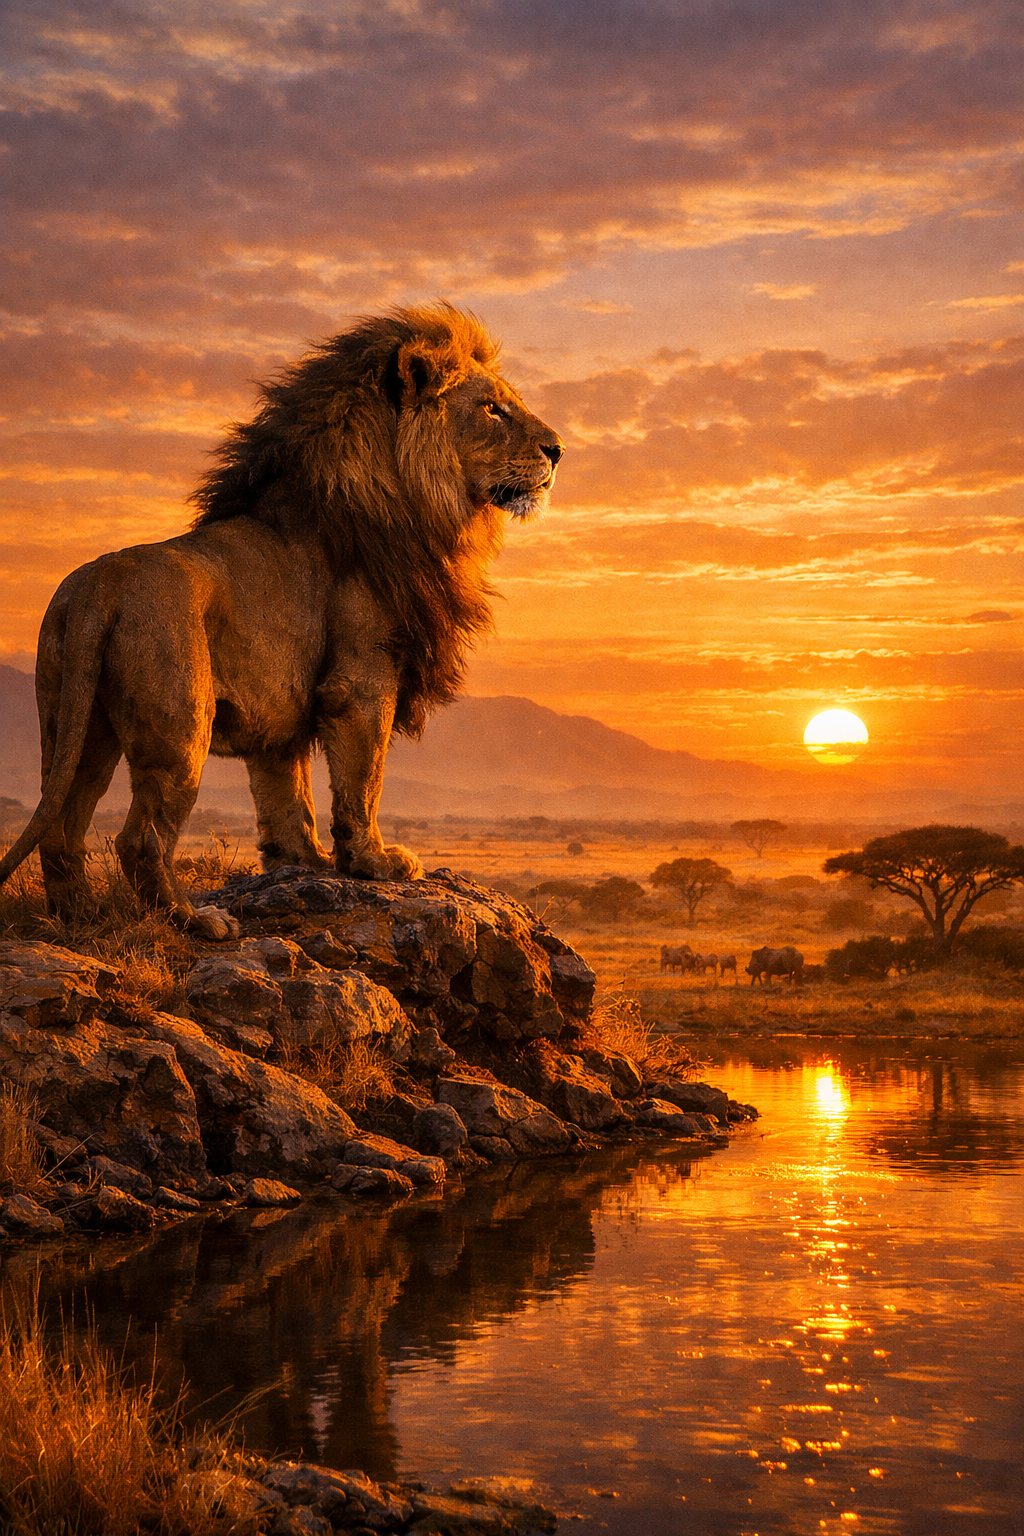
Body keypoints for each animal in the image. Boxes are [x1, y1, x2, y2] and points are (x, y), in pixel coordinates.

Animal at [0, 303, 564, 938]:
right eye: (492, 408)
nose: (558, 450)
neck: (415, 501)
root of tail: (101, 584)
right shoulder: (363, 674)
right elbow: (364, 777)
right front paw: (374, 862)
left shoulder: (278, 709)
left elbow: (285, 793)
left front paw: (303, 863)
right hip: (179, 726)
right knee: (139, 837)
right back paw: (195, 921)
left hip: (76, 722)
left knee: (62, 828)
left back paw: (80, 920)